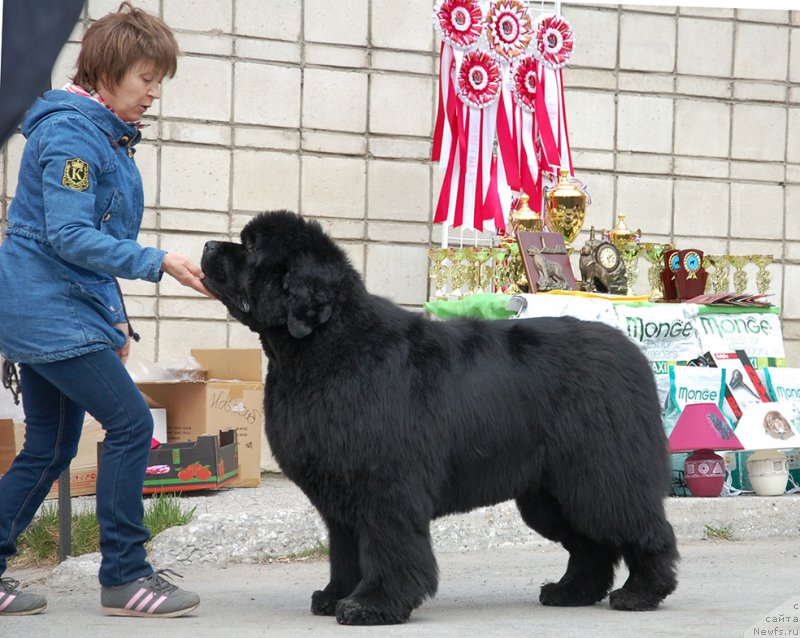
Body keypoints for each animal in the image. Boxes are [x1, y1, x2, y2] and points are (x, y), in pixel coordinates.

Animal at [200, 210, 676, 624]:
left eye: (251, 247)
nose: (206, 244)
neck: (328, 346)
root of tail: (633, 353)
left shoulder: (385, 487)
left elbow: (388, 548)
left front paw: (374, 606)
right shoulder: (341, 494)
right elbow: (345, 551)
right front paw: (336, 596)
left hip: (601, 475)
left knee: (642, 528)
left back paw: (641, 593)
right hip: (551, 493)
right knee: (590, 544)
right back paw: (570, 592)